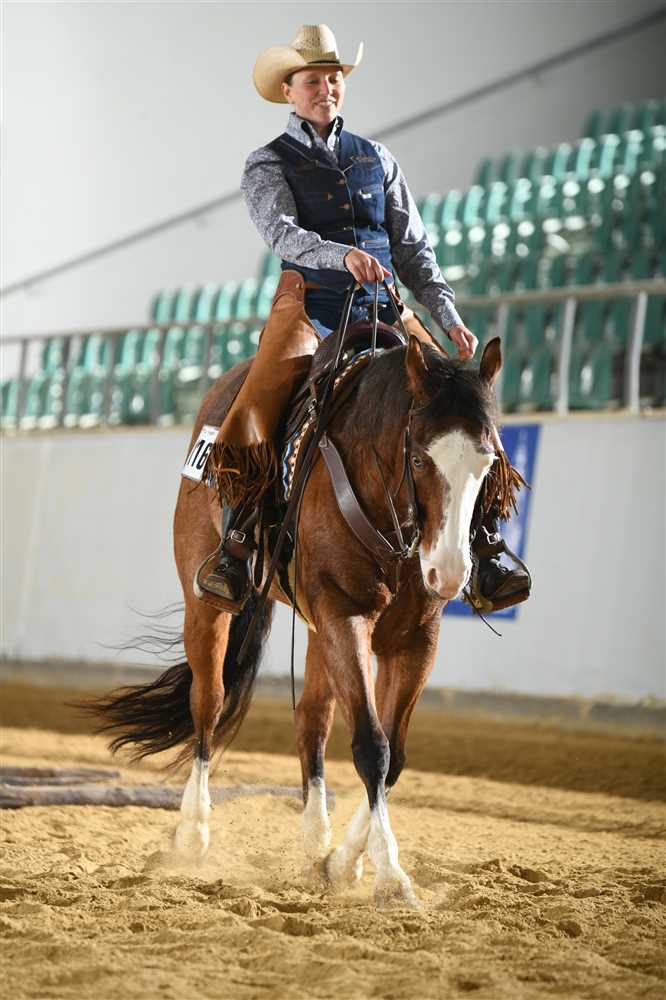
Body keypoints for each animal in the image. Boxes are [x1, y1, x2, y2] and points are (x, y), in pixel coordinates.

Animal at [91, 332, 504, 909]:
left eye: (488, 461)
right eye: (422, 458)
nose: (448, 572)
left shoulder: (415, 638)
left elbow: (394, 754)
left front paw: (343, 863)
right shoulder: (344, 614)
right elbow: (372, 747)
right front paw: (391, 876)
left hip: (316, 628)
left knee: (311, 717)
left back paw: (316, 836)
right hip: (208, 602)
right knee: (209, 702)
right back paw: (194, 834)